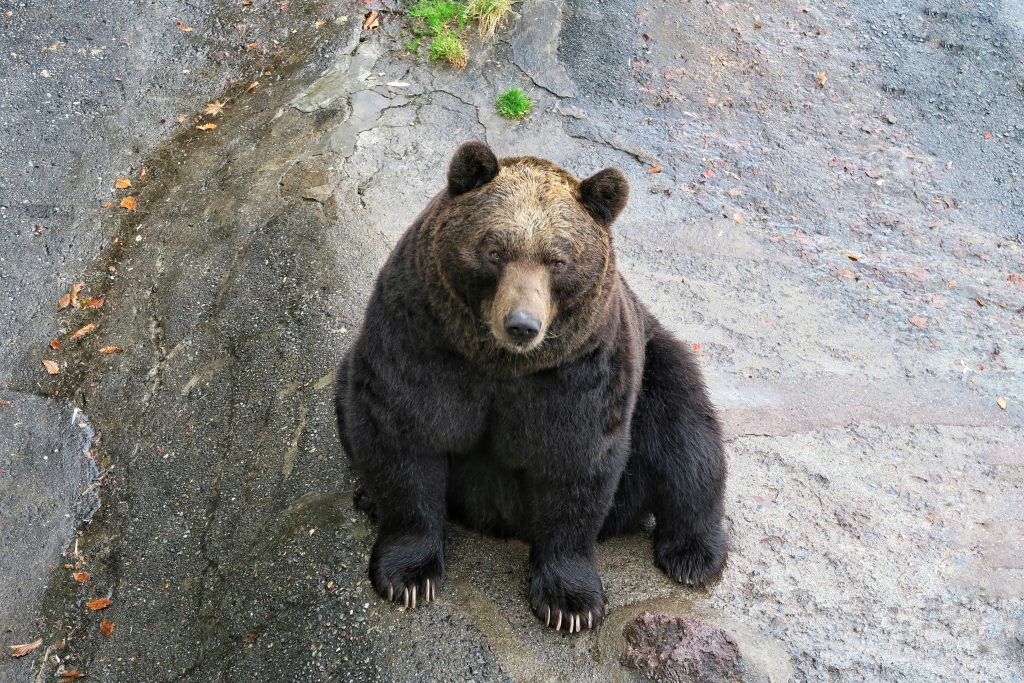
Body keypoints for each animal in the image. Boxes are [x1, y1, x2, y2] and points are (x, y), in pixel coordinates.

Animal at [335, 141, 729, 634]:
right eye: (494, 249)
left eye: (558, 260)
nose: (522, 324)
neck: (499, 363)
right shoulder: (421, 339)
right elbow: (403, 432)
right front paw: (408, 576)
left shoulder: (578, 373)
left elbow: (574, 463)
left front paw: (570, 604)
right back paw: (367, 498)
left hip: (656, 364)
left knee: (688, 441)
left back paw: (694, 556)